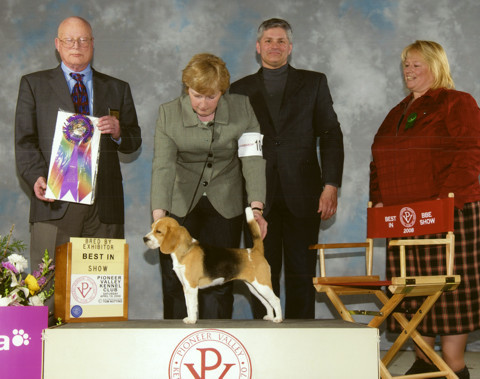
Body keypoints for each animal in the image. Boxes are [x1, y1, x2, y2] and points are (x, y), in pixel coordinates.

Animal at [144, 208, 284, 324]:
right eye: (151, 228)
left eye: (158, 231)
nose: (144, 239)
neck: (186, 251)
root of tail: (255, 251)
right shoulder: (185, 287)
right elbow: (188, 305)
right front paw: (189, 318)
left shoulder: (192, 287)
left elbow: (192, 305)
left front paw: (192, 320)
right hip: (254, 288)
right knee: (267, 302)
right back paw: (270, 316)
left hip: (262, 285)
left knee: (276, 300)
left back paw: (278, 319)